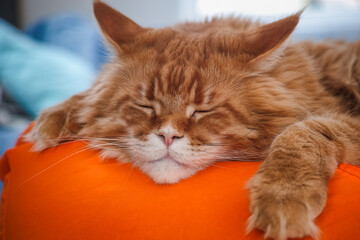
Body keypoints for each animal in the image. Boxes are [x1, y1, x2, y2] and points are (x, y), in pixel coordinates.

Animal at [27, 0, 360, 240]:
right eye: (145, 105)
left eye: (202, 110)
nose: (167, 136)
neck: (316, 79)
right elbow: (87, 98)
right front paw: (54, 120)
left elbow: (303, 131)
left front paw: (283, 197)